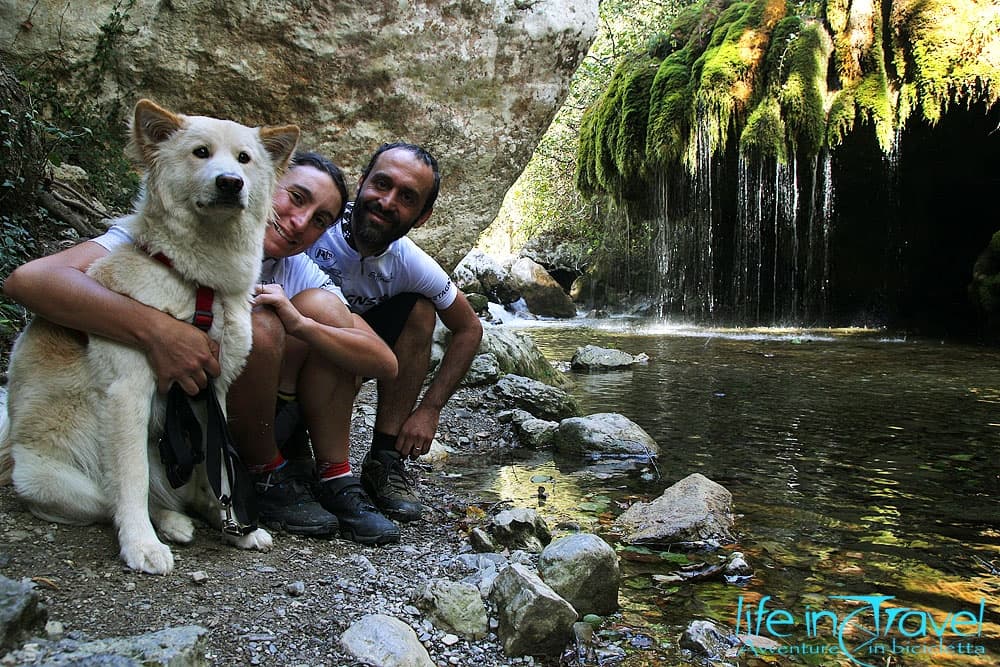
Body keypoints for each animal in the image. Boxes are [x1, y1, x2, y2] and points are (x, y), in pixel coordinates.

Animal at [0, 98, 298, 576]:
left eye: (244, 159)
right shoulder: (128, 390)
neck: (198, 283)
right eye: (200, 152)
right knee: (113, 497)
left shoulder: (214, 389)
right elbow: (131, 478)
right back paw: (168, 524)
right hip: (52, 479)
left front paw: (237, 525)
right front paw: (141, 545)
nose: (230, 182)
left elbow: (221, 464)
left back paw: (208, 515)